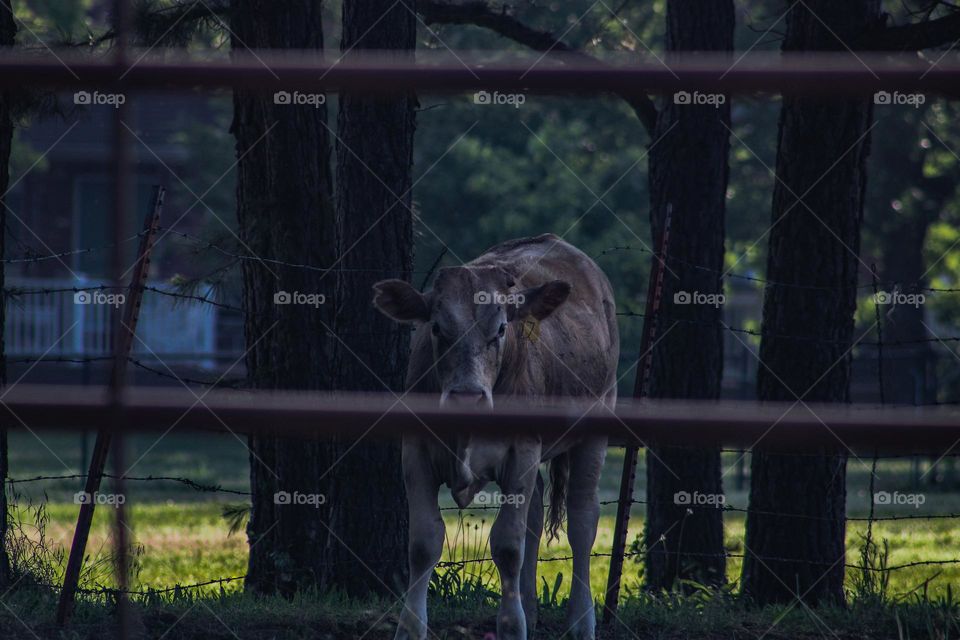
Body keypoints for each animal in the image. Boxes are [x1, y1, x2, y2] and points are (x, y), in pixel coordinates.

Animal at [373, 233, 619, 640]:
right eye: (436, 328)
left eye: (501, 330)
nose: (467, 397)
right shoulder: (416, 452)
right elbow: (423, 543)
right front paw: (410, 628)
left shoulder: (522, 451)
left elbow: (507, 546)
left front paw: (511, 626)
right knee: (535, 512)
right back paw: (531, 609)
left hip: (595, 430)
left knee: (583, 520)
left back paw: (581, 622)